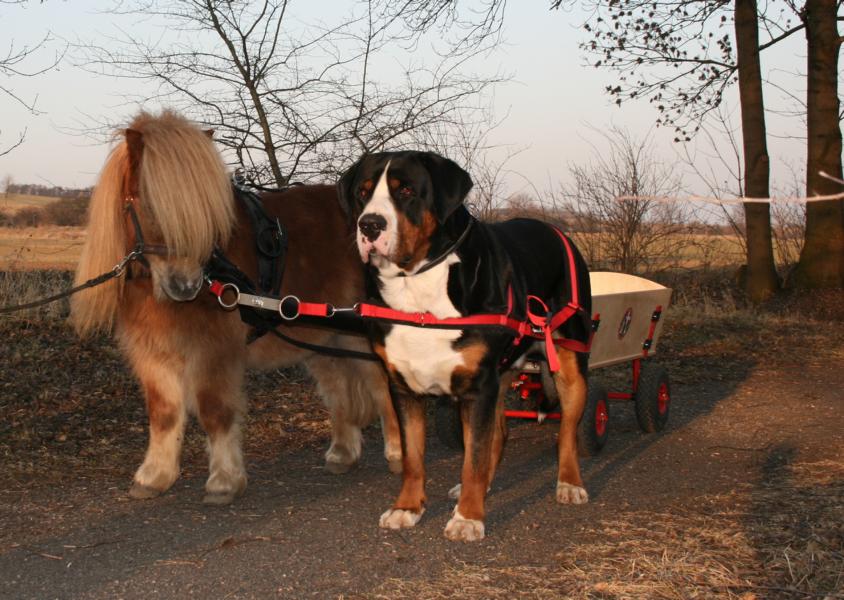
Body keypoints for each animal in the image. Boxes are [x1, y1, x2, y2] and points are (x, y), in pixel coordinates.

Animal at [71, 110, 400, 504]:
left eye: (203, 213)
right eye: (148, 205)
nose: (187, 286)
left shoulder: (214, 351)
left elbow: (215, 411)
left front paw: (224, 481)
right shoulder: (153, 353)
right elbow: (163, 413)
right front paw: (154, 477)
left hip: (360, 337)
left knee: (382, 387)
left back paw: (398, 453)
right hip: (324, 338)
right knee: (337, 389)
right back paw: (342, 453)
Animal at [338, 151, 592, 544]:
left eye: (406, 190)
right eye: (363, 193)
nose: (369, 225)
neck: (419, 291)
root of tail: (555, 230)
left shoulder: (478, 388)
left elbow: (473, 458)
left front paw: (469, 518)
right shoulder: (405, 388)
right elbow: (415, 457)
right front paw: (407, 508)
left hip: (568, 363)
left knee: (567, 429)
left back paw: (569, 483)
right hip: (500, 375)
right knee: (498, 434)